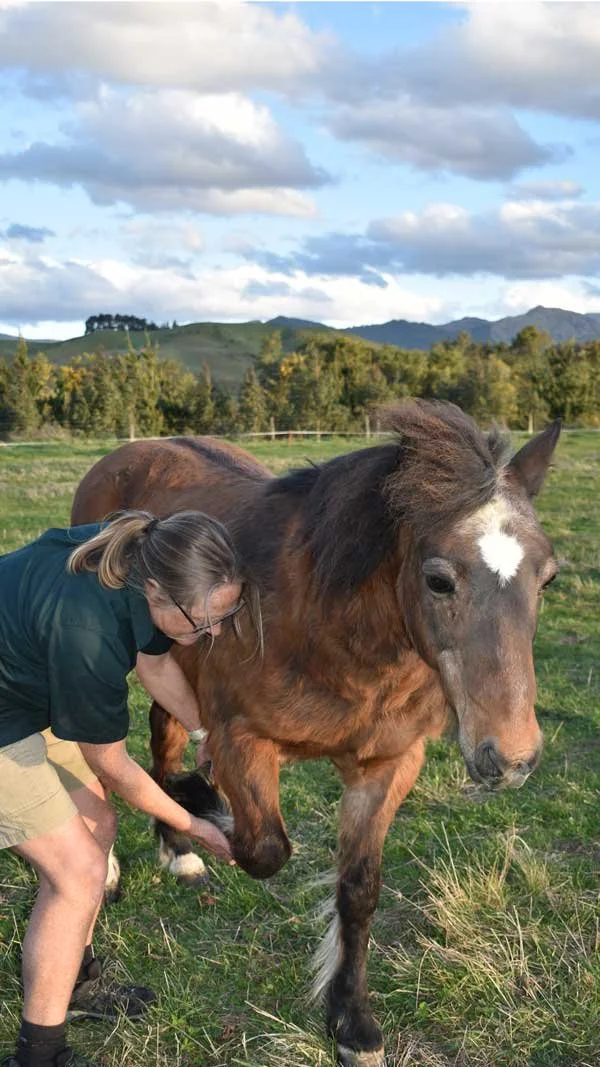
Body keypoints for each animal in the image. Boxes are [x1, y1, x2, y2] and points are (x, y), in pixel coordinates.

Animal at [71, 401, 560, 1067]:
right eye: (438, 580)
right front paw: (203, 801)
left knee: (162, 738)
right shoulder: (243, 743)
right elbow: (265, 848)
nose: (510, 758)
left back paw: (179, 850)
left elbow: (358, 890)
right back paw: (121, 865)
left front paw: (350, 1020)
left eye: (548, 578)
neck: (324, 623)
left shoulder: (388, 766)